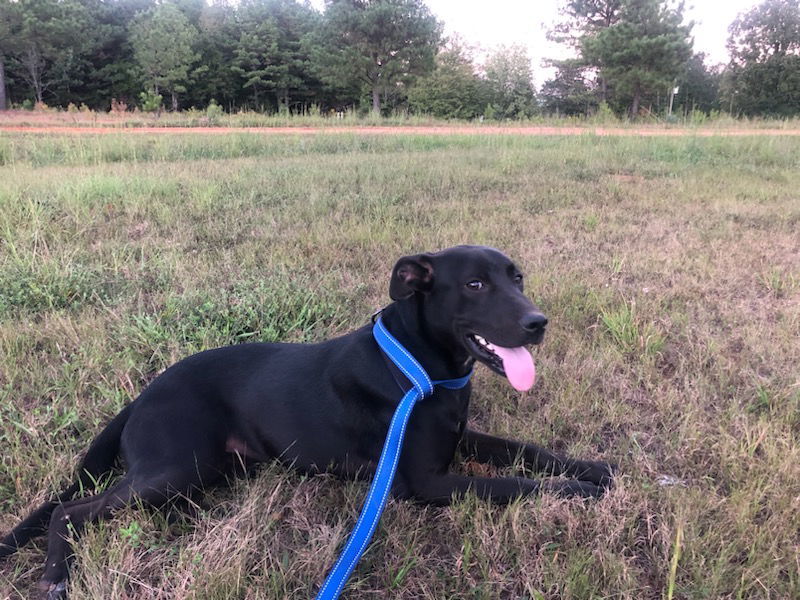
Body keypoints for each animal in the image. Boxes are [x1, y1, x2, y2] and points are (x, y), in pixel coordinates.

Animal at [0, 244, 616, 596]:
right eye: (475, 284)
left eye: (517, 278)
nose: (539, 322)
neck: (418, 366)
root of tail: (143, 394)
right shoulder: (426, 482)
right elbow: (517, 484)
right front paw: (578, 492)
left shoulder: (458, 444)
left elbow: (527, 452)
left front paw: (592, 468)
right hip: (175, 469)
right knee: (71, 510)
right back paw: (54, 576)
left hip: (209, 472)